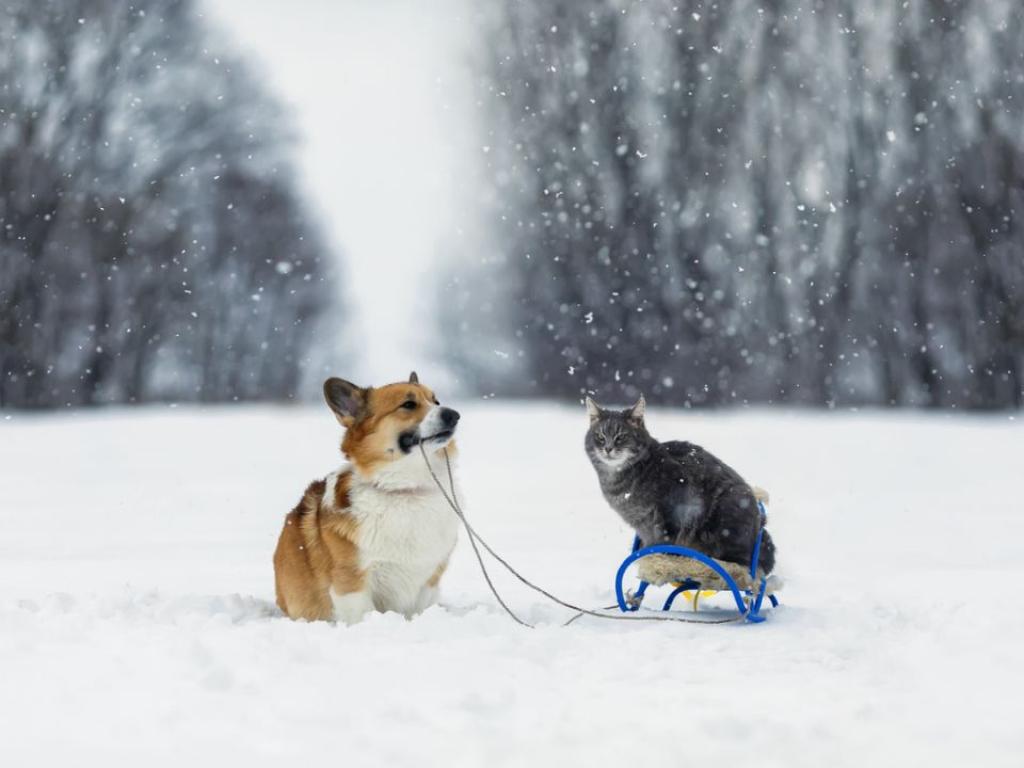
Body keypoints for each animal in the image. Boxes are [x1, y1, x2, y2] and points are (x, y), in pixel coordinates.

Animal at [274, 372, 462, 626]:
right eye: (408, 404)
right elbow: (362, 615)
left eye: (436, 401)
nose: (454, 415)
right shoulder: (352, 582)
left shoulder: (428, 579)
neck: (405, 489)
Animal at [585, 397, 774, 573]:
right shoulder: (642, 524)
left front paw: (660, 559)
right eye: (600, 437)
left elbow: (667, 538)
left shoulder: (674, 503)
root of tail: (760, 527)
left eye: (621, 436)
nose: (608, 448)